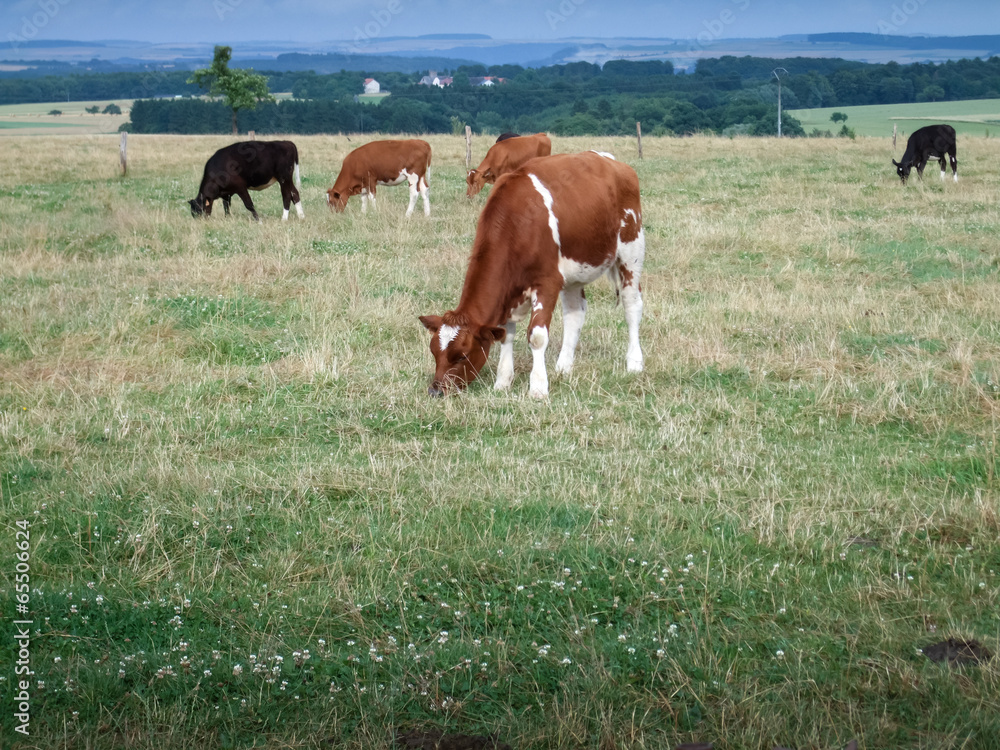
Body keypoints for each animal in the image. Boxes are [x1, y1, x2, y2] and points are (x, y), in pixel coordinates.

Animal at [420, 150, 645, 399]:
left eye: (463, 355)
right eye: (434, 352)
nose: (435, 391)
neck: (517, 221)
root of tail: (611, 160)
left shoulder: (547, 283)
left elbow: (537, 337)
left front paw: (538, 387)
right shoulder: (509, 293)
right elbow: (505, 335)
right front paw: (503, 381)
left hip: (631, 249)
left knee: (632, 304)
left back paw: (634, 362)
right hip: (574, 272)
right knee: (575, 314)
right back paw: (563, 367)